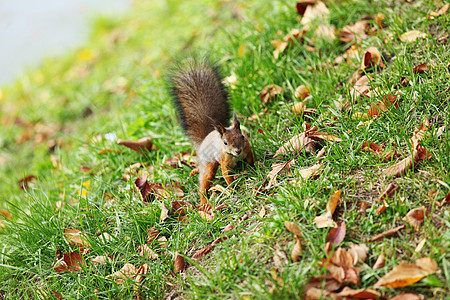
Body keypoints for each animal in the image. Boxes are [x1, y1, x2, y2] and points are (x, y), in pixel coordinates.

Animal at [168, 57, 255, 205]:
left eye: (243, 137)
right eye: (225, 143)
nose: (237, 150)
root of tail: (203, 140)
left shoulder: (247, 149)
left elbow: (251, 160)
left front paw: (254, 168)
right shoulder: (224, 161)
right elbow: (226, 175)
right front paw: (232, 189)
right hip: (208, 165)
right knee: (204, 181)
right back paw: (204, 202)